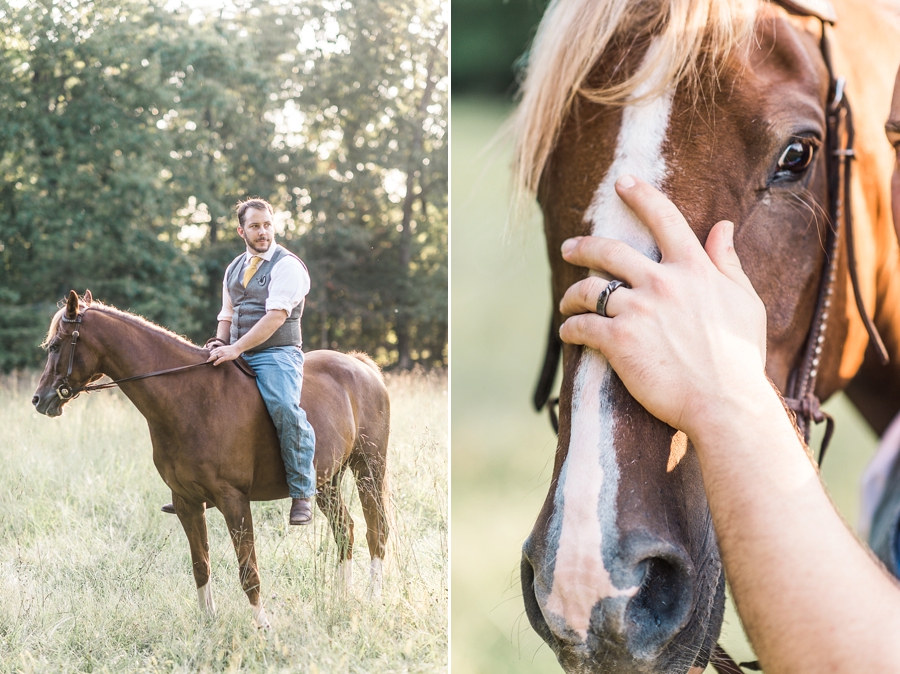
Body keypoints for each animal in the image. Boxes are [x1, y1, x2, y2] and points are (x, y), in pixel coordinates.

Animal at [30, 288, 390, 624]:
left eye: (56, 345)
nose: (39, 399)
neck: (191, 398)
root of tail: (361, 365)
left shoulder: (234, 500)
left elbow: (248, 571)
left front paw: (263, 627)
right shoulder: (186, 502)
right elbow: (200, 565)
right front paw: (208, 624)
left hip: (369, 469)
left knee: (377, 530)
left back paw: (374, 598)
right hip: (328, 481)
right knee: (345, 530)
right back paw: (342, 598)